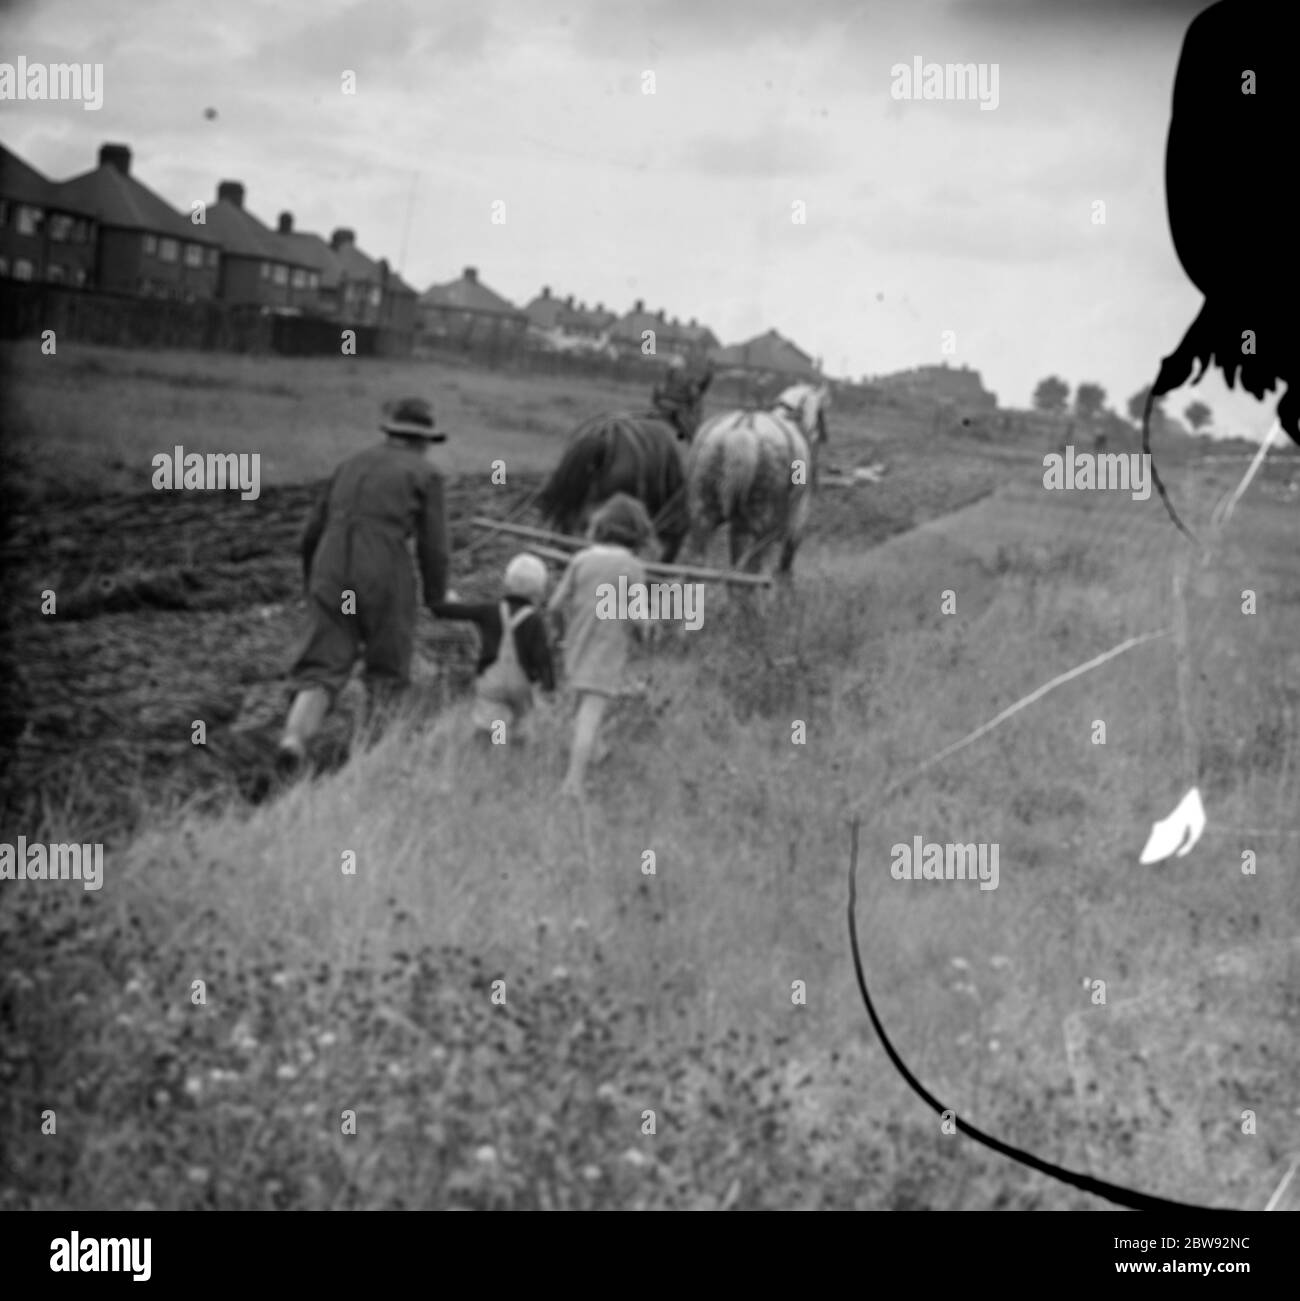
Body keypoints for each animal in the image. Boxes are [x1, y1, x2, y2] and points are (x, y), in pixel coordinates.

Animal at [687, 379, 827, 575]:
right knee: (756, 571)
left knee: (699, 564)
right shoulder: (798, 516)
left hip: (703, 512)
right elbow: (786, 558)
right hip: (763, 522)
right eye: (820, 414)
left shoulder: (739, 527)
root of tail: (743, 427)